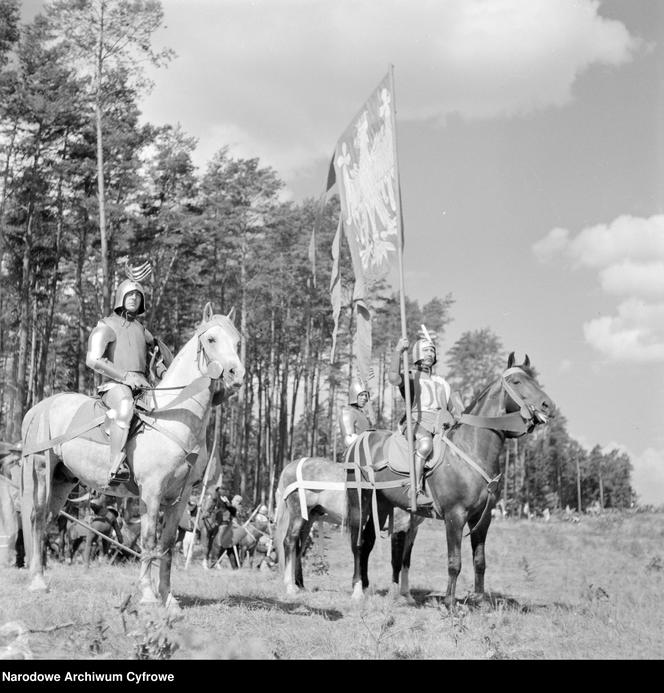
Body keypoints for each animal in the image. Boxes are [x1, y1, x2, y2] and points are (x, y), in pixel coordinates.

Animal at [18, 306, 244, 608]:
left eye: (237, 340)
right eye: (211, 339)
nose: (236, 374)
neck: (176, 416)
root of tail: (39, 408)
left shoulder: (180, 497)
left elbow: (167, 544)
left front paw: (168, 597)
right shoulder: (151, 492)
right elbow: (148, 540)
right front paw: (148, 596)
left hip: (62, 481)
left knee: (48, 521)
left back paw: (41, 576)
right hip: (42, 470)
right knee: (38, 518)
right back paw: (37, 582)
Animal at [344, 354, 552, 608]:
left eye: (532, 378)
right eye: (516, 381)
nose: (547, 405)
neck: (471, 449)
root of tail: (361, 439)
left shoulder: (481, 519)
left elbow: (480, 561)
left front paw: (480, 600)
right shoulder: (455, 517)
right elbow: (455, 562)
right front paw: (449, 602)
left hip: (382, 505)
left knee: (368, 542)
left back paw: (365, 587)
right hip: (359, 503)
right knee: (357, 543)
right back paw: (357, 590)